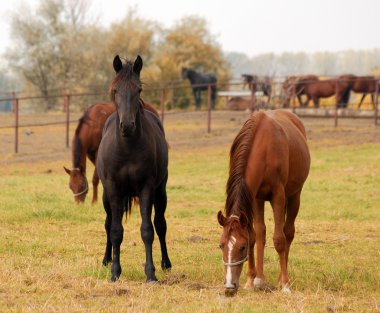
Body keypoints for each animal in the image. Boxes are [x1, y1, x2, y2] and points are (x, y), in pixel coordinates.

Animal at [95, 54, 171, 282]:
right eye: (115, 89)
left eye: (138, 90)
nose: (127, 126)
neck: (127, 148)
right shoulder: (113, 189)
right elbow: (115, 230)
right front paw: (114, 272)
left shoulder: (147, 188)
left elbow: (148, 229)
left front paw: (151, 274)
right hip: (106, 197)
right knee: (108, 222)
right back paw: (106, 259)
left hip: (161, 192)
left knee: (160, 224)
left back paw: (166, 263)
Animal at [218, 109, 310, 294]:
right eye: (221, 245)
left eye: (242, 247)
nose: (230, 286)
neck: (264, 148)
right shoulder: (253, 197)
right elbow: (254, 236)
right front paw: (253, 280)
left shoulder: (278, 195)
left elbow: (279, 239)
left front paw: (285, 284)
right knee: (261, 233)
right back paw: (260, 277)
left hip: (294, 196)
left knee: (288, 233)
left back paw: (282, 279)